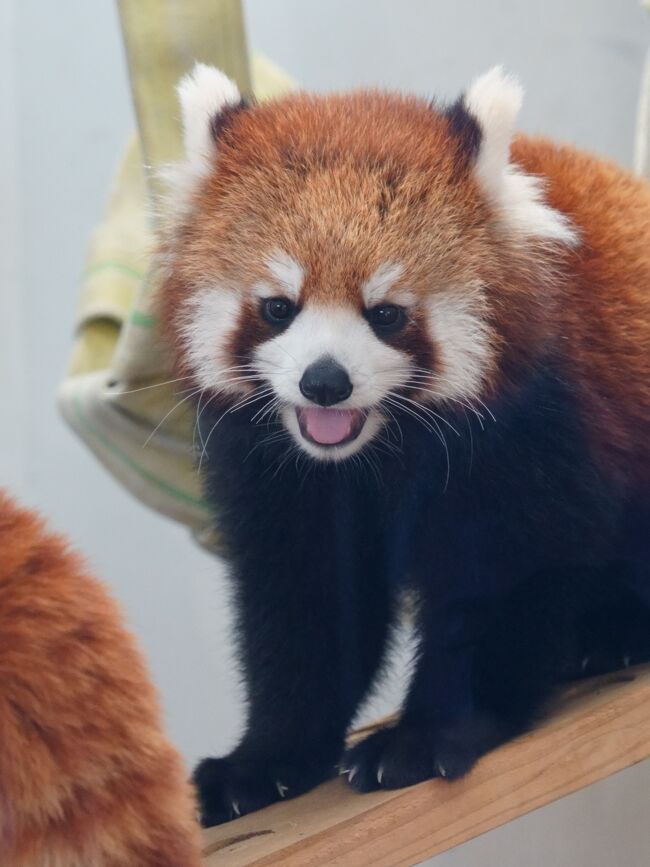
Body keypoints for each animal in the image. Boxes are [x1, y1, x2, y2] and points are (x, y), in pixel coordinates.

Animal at [156, 64, 648, 824]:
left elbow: (507, 577)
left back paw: (615, 630)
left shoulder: (533, 435)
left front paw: (426, 735)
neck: (377, 448)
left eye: (385, 315)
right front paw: (267, 758)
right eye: (278, 308)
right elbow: (303, 602)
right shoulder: (281, 478)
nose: (324, 382)